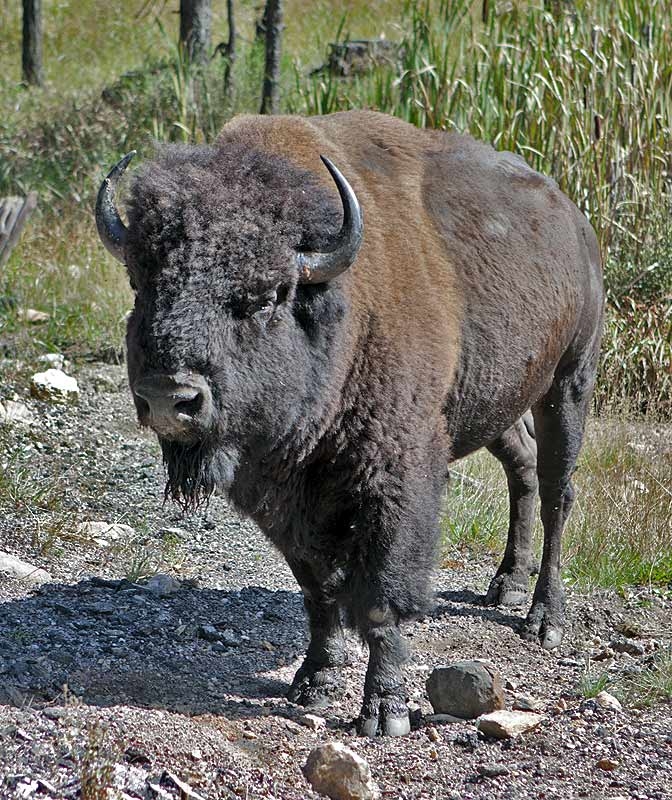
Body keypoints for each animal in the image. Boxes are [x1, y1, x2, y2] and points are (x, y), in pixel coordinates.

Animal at [94, 111, 604, 736]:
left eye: (266, 295)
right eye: (141, 283)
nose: (171, 398)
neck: (337, 312)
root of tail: (573, 218)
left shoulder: (395, 475)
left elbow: (381, 592)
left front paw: (384, 711)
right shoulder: (281, 497)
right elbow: (318, 586)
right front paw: (315, 680)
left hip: (569, 382)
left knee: (559, 491)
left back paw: (543, 617)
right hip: (495, 400)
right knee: (523, 467)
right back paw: (505, 585)